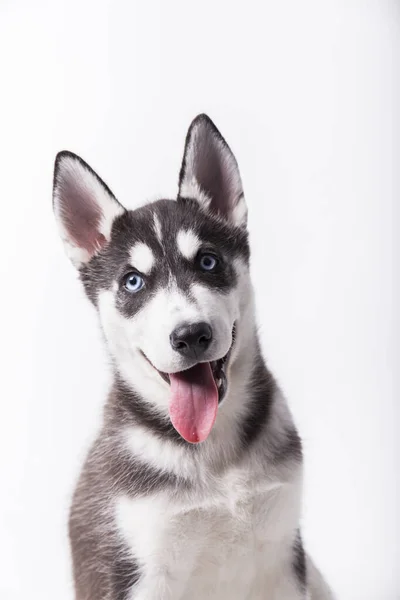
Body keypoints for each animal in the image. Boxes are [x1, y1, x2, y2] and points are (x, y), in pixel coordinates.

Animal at [53, 115, 334, 596]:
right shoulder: (139, 571)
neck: (213, 454)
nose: (191, 336)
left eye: (207, 261)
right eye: (133, 282)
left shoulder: (282, 560)